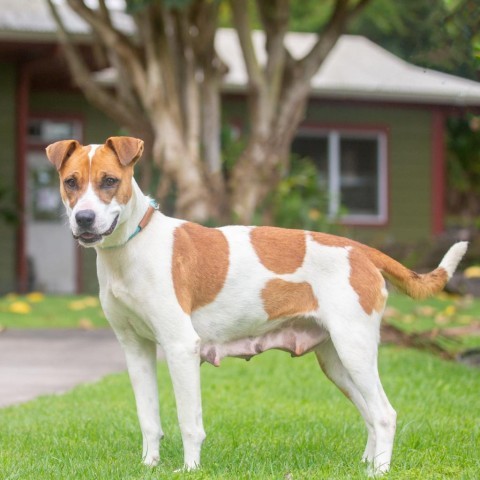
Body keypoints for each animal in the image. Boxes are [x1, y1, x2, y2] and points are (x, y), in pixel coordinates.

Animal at [47, 136, 466, 476]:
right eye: (71, 183)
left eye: (109, 181)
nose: (84, 218)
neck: (131, 247)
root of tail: (359, 248)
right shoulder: (136, 349)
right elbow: (148, 417)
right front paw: (149, 465)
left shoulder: (181, 347)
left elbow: (188, 420)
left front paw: (190, 468)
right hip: (337, 362)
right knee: (369, 413)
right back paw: (367, 463)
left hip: (355, 349)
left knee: (384, 413)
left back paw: (379, 470)